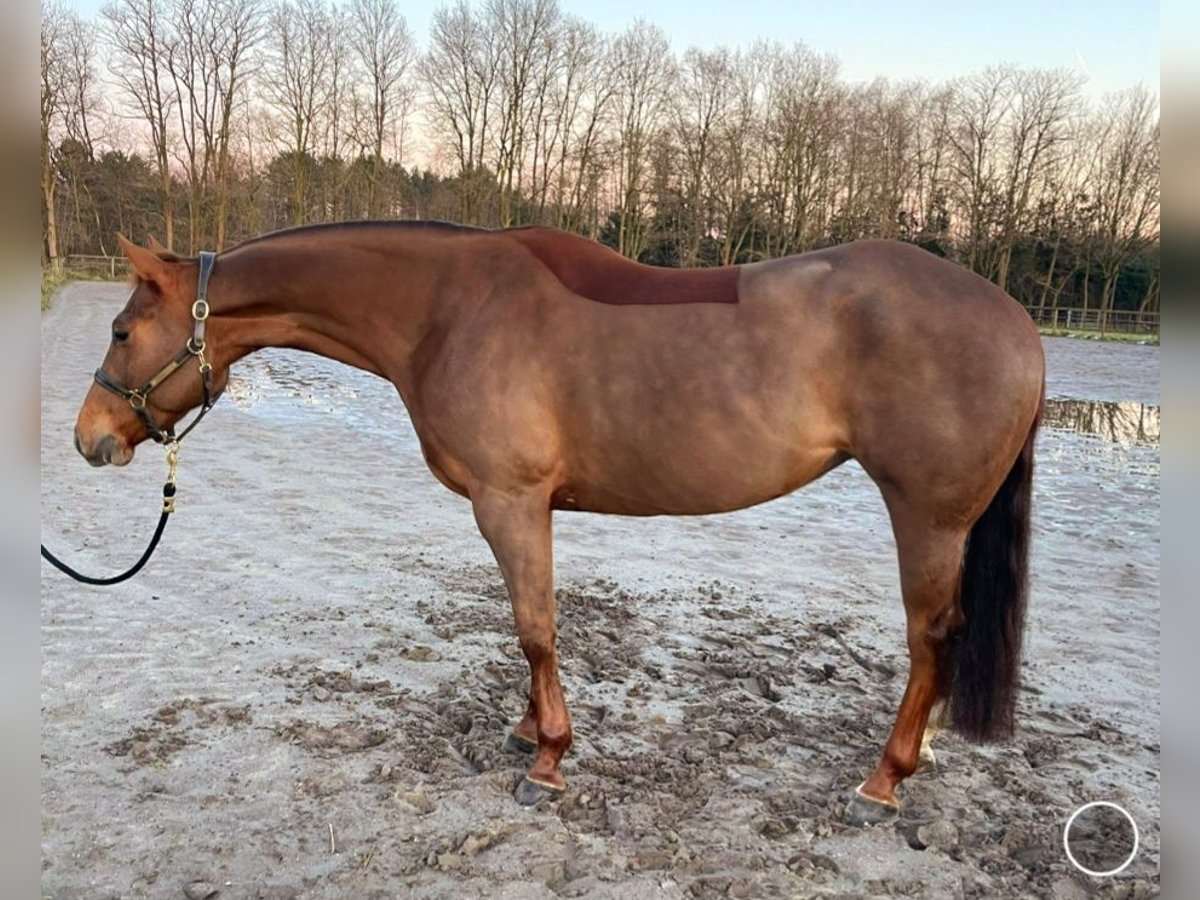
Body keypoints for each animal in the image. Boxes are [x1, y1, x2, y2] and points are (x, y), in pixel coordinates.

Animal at [72, 224, 1041, 825]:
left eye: (120, 330)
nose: (89, 440)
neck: (445, 309)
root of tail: (1019, 322)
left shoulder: (510, 501)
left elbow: (535, 627)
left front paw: (548, 760)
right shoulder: (517, 509)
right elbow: (527, 627)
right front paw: (525, 728)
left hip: (927, 518)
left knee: (931, 639)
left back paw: (882, 782)